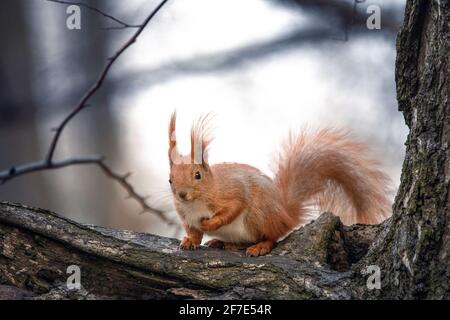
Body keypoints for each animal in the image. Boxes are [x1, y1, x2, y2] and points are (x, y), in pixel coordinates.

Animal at [168, 113, 390, 258]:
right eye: (170, 179)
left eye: (197, 175)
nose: (182, 194)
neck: (197, 202)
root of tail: (286, 214)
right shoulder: (186, 216)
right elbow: (193, 231)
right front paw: (190, 240)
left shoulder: (232, 191)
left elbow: (234, 206)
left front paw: (210, 224)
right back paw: (220, 242)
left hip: (259, 215)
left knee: (273, 236)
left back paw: (260, 246)